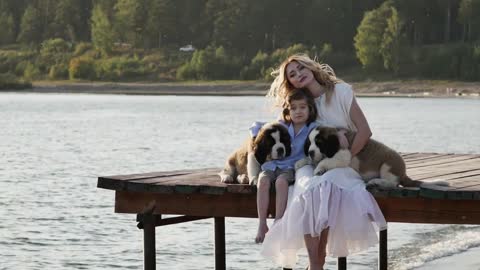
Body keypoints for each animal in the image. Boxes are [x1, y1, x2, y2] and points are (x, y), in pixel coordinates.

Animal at [300, 125, 450, 189]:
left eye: (319, 143)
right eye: (310, 143)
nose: (310, 152)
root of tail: (404, 173)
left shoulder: (343, 156)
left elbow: (325, 160)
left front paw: (318, 169)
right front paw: (302, 161)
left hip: (388, 165)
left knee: (393, 183)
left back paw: (376, 182)